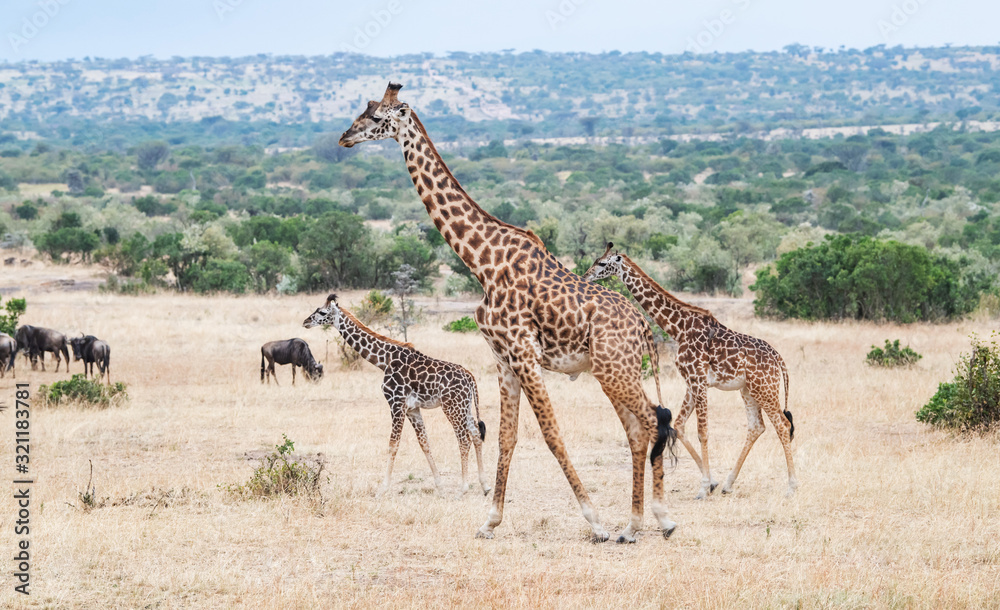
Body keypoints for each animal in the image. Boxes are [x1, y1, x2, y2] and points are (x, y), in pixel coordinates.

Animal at [303, 294, 490, 496]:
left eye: (322, 312)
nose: (305, 321)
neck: (384, 360)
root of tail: (470, 378)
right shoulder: (412, 409)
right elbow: (424, 443)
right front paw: (439, 485)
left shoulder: (396, 403)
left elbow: (393, 445)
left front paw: (382, 488)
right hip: (465, 407)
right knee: (476, 434)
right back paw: (485, 485)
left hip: (452, 407)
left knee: (464, 440)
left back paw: (463, 488)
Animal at [339, 82, 677, 543]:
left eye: (376, 117)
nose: (344, 138)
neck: (481, 262)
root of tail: (643, 324)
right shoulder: (503, 359)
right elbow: (505, 437)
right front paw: (490, 520)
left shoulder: (524, 353)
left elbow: (551, 434)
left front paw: (594, 521)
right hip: (613, 371)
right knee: (639, 427)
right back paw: (635, 522)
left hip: (614, 368)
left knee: (653, 420)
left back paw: (657, 519)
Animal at [583, 243, 798, 498]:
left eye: (602, 263)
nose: (586, 276)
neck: (679, 328)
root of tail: (779, 360)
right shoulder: (691, 381)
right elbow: (679, 425)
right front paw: (711, 482)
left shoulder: (698, 379)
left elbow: (702, 431)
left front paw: (704, 488)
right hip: (748, 390)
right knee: (757, 427)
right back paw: (728, 484)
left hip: (765, 388)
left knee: (783, 425)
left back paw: (792, 486)